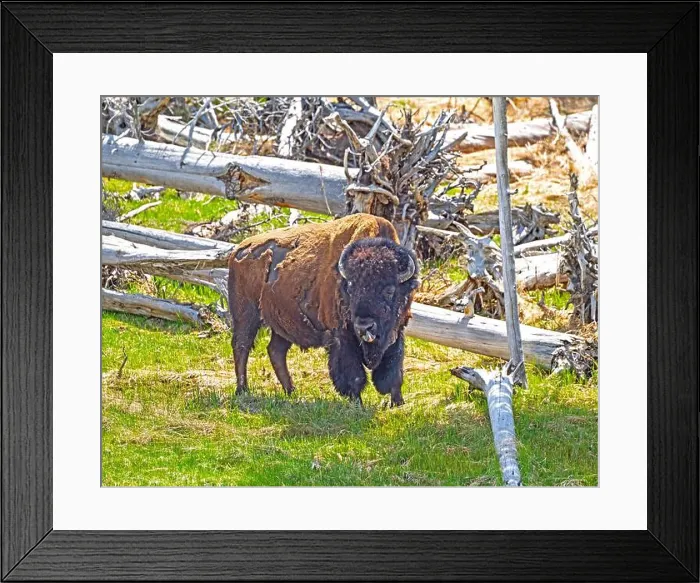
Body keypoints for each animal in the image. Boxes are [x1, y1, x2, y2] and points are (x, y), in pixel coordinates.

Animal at [228, 213, 419, 406]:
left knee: (275, 351)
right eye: (351, 288)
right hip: (246, 315)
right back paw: (242, 390)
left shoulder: (396, 333)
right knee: (242, 346)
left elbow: (394, 372)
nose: (364, 326)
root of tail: (238, 250)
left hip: (282, 324)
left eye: (389, 290)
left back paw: (291, 391)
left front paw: (398, 403)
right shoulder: (342, 337)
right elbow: (354, 375)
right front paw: (357, 403)